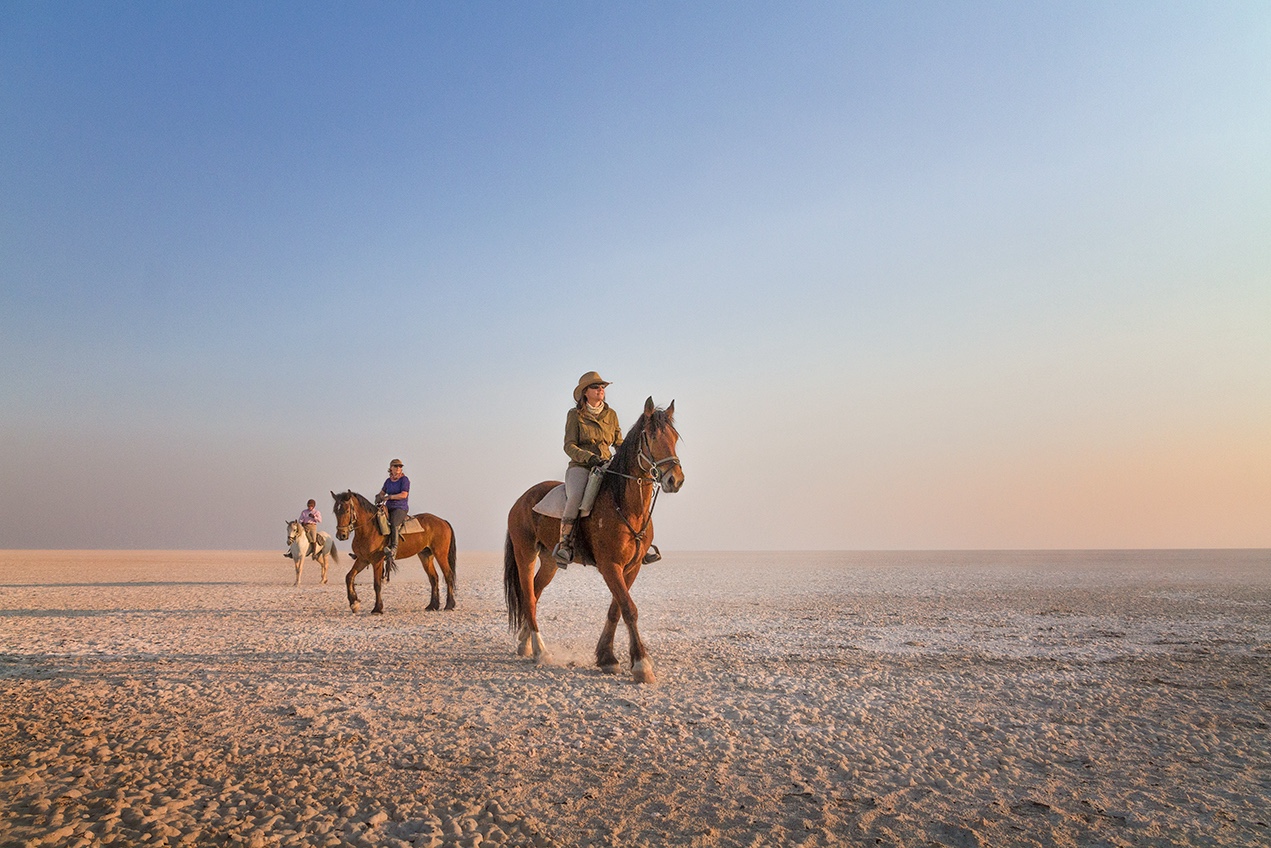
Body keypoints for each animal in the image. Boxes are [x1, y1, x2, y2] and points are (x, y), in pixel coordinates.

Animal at [330, 490, 460, 617]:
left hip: (440, 554)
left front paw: (377, 609)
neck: (369, 529)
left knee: (448, 575)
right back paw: (432, 606)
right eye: (335, 511)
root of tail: (443, 522)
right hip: (425, 555)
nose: (341, 535)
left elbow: (377, 584)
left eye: (347, 510)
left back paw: (449, 605)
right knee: (434, 578)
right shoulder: (363, 559)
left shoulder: (377, 561)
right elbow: (349, 577)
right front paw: (354, 603)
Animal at [505, 396, 686, 681]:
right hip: (525, 555)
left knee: (534, 591)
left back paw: (525, 643)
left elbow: (616, 609)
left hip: (548, 561)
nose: (675, 480)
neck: (625, 505)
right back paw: (540, 650)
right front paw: (641, 665)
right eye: (651, 436)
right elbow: (629, 609)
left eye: (675, 437)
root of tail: (521, 500)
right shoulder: (610, 566)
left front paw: (607, 657)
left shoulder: (631, 567)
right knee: (528, 596)